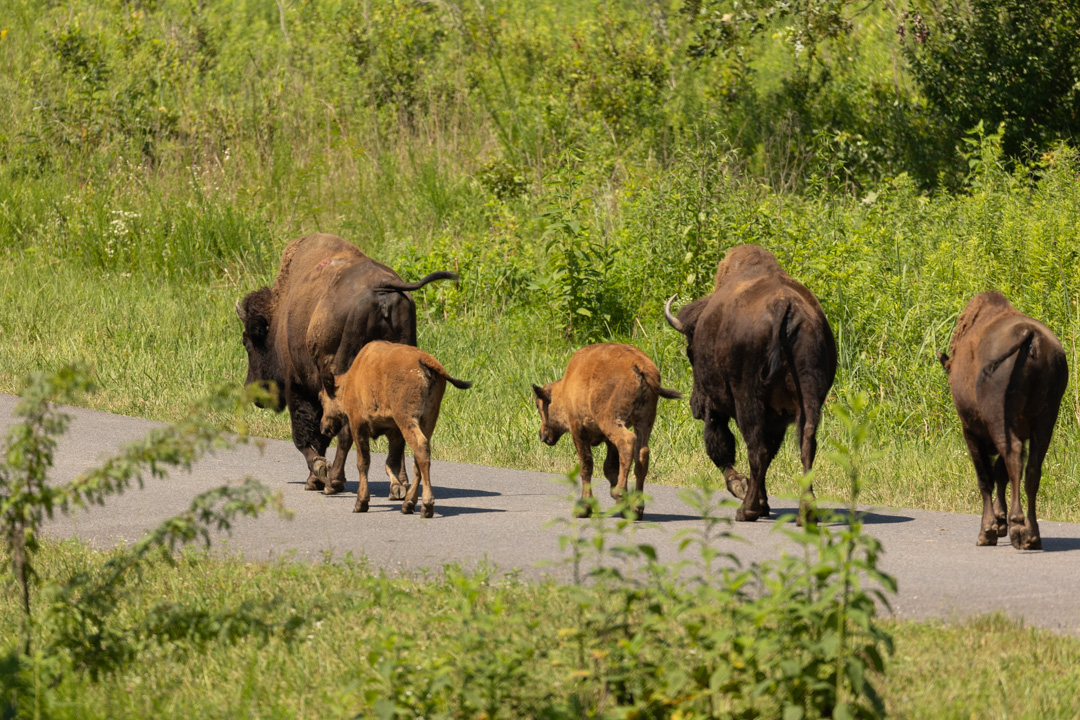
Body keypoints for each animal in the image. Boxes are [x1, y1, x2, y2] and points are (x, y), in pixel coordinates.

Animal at [236, 233, 456, 494]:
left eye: (248, 342)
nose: (254, 393)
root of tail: (382, 288)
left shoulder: (299, 387)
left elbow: (305, 436)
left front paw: (318, 473)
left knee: (346, 430)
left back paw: (334, 482)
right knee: (398, 428)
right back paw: (399, 485)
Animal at [319, 341, 472, 518]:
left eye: (321, 397)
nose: (324, 428)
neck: (349, 380)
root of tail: (425, 360)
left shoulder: (358, 425)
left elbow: (363, 462)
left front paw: (361, 503)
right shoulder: (395, 432)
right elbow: (391, 461)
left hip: (407, 418)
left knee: (420, 447)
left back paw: (426, 506)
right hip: (428, 419)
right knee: (419, 458)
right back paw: (408, 505)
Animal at [532, 343, 681, 520]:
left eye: (538, 405)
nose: (542, 435)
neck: (565, 388)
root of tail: (639, 365)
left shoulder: (577, 430)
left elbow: (587, 465)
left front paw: (584, 507)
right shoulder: (609, 441)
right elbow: (610, 467)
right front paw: (622, 506)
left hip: (610, 420)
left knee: (627, 442)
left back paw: (620, 493)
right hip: (644, 421)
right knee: (642, 453)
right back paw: (637, 507)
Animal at [664, 244, 836, 523]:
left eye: (691, 352)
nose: (695, 406)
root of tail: (785, 306)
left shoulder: (717, 408)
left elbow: (719, 445)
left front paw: (740, 487)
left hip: (748, 401)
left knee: (756, 449)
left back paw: (747, 510)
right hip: (810, 399)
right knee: (806, 447)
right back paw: (806, 514)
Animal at [939, 291, 1068, 550]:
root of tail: (1030, 337)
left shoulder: (970, 431)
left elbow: (986, 478)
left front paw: (988, 531)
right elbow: (1001, 474)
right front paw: (999, 523)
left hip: (1000, 420)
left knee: (1013, 459)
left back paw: (1017, 528)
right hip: (1046, 419)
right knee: (1032, 470)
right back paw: (1032, 536)